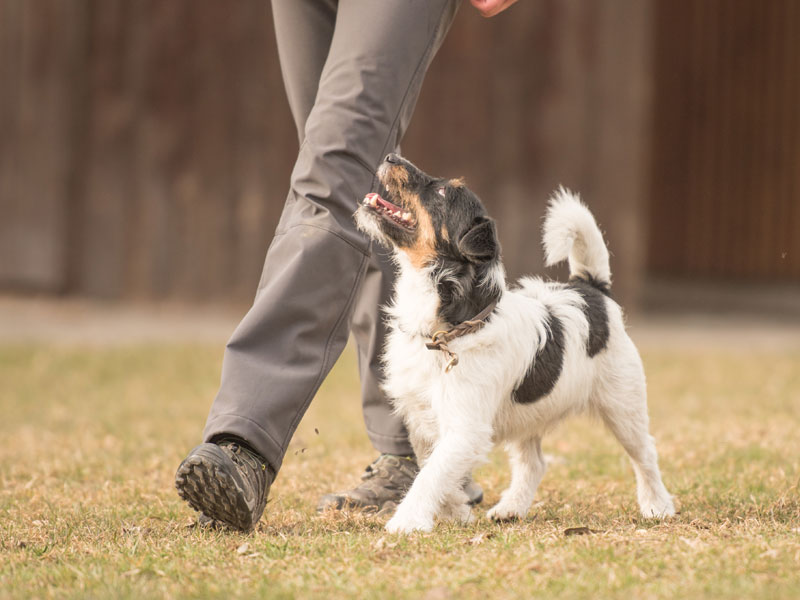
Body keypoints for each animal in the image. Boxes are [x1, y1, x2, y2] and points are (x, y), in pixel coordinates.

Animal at [354, 152, 672, 532]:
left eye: (444, 192)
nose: (390, 156)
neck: (450, 328)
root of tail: (591, 288)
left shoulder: (465, 428)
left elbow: (430, 475)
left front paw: (407, 521)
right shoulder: (422, 419)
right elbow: (434, 467)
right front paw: (456, 510)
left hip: (623, 405)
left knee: (645, 453)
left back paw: (657, 505)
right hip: (528, 414)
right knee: (533, 463)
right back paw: (511, 508)